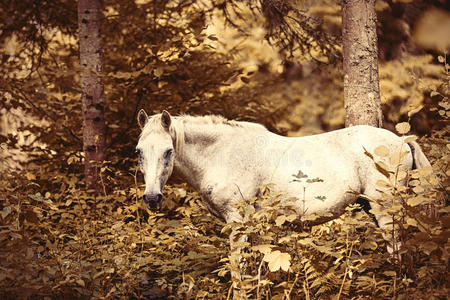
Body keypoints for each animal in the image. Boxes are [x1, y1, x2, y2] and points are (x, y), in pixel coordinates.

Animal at [135, 109, 430, 286]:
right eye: (139, 151)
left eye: (168, 151)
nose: (152, 198)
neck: (222, 153)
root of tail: (403, 141)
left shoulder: (237, 222)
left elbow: (238, 267)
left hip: (385, 209)